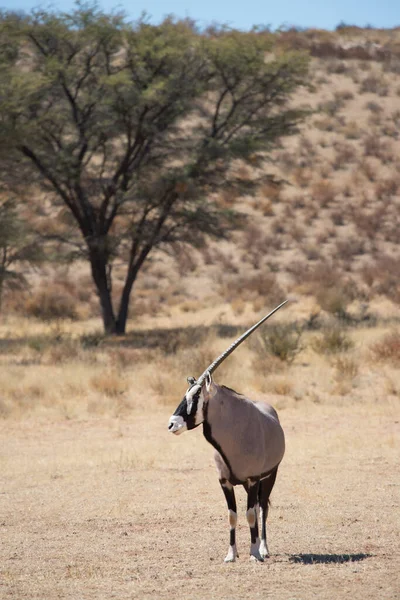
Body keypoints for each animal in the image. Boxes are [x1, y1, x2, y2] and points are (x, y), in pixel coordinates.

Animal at [169, 300, 288, 564]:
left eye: (196, 396)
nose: (172, 424)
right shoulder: (225, 482)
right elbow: (232, 515)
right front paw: (231, 554)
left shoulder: (253, 479)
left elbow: (251, 513)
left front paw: (254, 553)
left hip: (269, 476)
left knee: (262, 507)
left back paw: (263, 548)